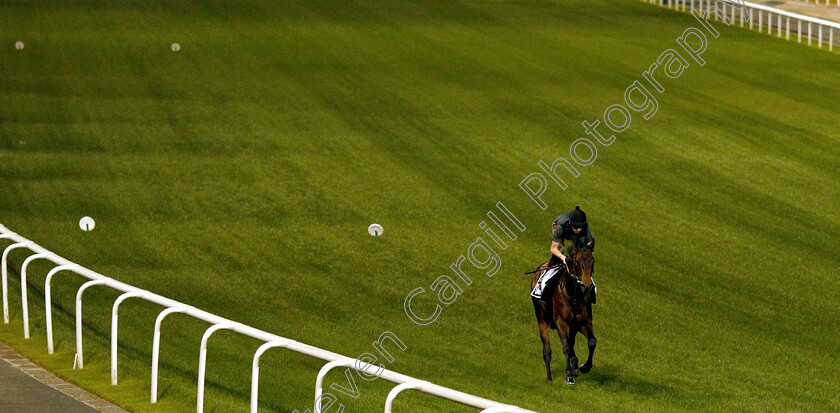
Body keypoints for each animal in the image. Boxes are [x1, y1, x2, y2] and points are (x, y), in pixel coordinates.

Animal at [528, 245, 592, 384]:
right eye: (577, 262)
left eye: (593, 262)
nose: (586, 286)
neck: (573, 296)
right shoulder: (561, 323)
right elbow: (566, 347)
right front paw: (568, 375)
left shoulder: (583, 323)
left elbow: (591, 342)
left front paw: (584, 367)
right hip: (542, 319)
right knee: (547, 350)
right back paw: (549, 378)